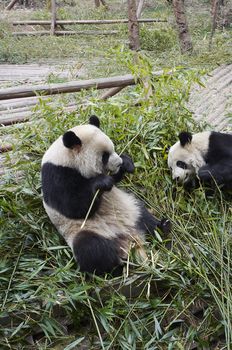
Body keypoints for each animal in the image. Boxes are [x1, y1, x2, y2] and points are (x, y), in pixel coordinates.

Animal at [41, 116, 171, 274]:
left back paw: (164, 226)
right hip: (85, 230)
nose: (119, 163)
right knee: (91, 248)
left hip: (131, 210)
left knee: (144, 216)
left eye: (113, 149)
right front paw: (102, 182)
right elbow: (75, 206)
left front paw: (126, 163)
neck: (66, 158)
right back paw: (119, 265)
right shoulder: (56, 174)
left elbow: (115, 180)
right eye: (104, 156)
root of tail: (130, 239)